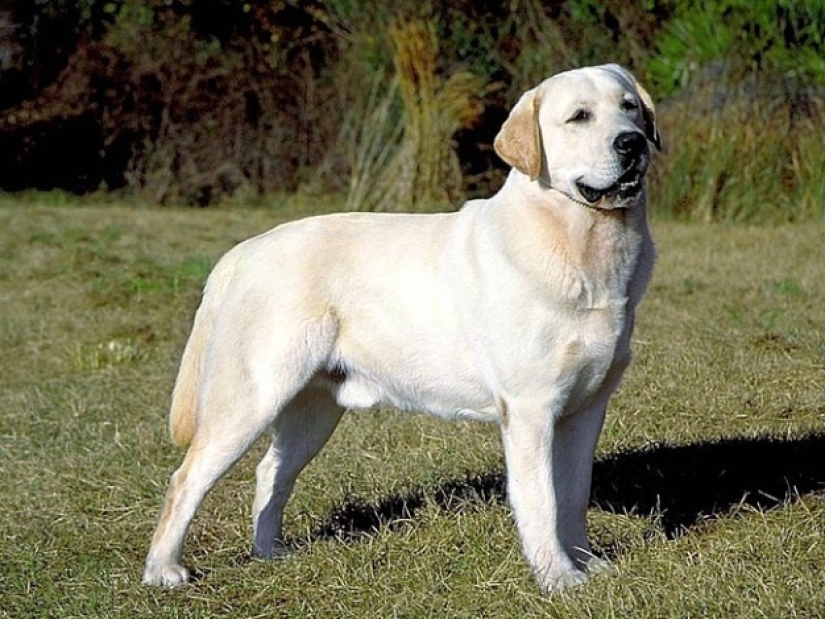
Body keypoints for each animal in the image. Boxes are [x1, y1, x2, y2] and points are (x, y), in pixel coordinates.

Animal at [140, 65, 656, 592]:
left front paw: (587, 563)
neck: (582, 242)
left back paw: (269, 553)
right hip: (251, 398)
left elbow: (573, 494)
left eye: (630, 107)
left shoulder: (587, 408)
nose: (632, 142)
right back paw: (163, 571)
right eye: (579, 117)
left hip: (313, 409)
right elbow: (542, 501)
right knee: (186, 479)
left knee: (271, 472)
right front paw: (557, 578)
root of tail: (242, 251)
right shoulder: (531, 409)